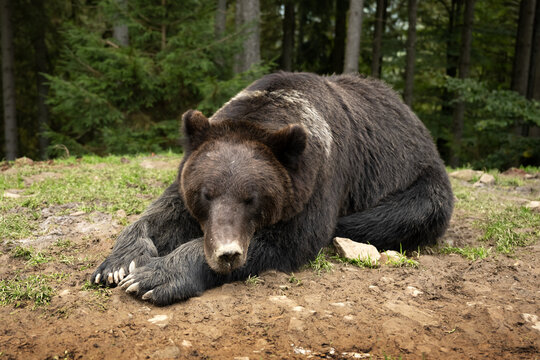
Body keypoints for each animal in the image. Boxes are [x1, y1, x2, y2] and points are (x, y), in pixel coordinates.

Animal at [90, 71, 454, 306]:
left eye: (251, 198)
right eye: (206, 193)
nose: (227, 252)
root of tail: (414, 118)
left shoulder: (320, 180)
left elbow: (289, 240)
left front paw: (155, 277)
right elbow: (163, 214)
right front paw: (119, 266)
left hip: (418, 179)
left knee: (399, 215)